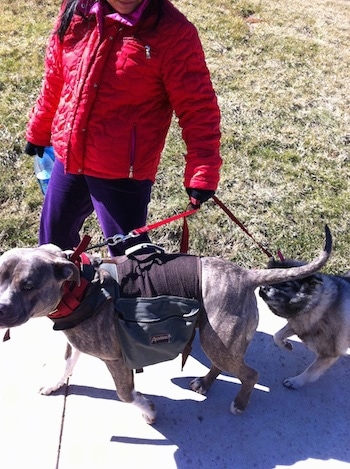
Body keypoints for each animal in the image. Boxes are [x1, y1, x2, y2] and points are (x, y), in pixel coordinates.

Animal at [0, 225, 332, 422]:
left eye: (28, 285)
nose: (1, 308)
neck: (79, 287)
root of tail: (247, 275)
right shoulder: (75, 345)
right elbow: (66, 367)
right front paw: (54, 385)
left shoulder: (115, 360)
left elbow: (125, 395)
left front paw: (147, 411)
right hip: (217, 340)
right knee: (225, 364)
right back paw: (205, 383)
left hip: (218, 340)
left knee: (249, 374)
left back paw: (239, 403)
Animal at [258, 241, 348, 388]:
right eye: (269, 277)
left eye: (287, 284)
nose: (263, 288)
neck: (319, 305)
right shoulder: (298, 324)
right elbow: (277, 336)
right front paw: (286, 345)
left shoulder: (328, 355)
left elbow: (311, 371)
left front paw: (296, 381)